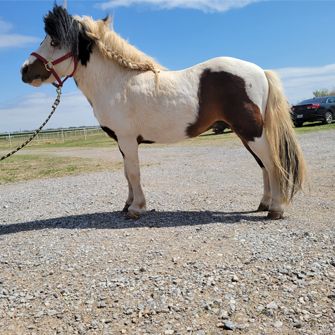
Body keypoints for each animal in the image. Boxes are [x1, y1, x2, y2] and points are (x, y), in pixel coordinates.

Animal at [21, 5, 308, 220]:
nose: (24, 71)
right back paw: (264, 204)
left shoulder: (127, 139)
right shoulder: (122, 142)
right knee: (263, 165)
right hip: (245, 132)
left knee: (271, 162)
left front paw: (136, 209)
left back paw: (276, 209)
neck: (116, 83)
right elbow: (126, 173)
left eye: (54, 41)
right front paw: (127, 204)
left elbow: (133, 173)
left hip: (251, 131)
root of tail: (260, 71)